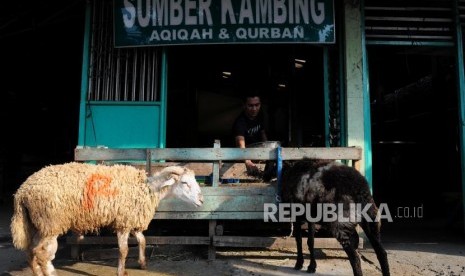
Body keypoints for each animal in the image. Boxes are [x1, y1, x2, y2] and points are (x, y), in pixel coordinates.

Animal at [10, 162, 202, 276]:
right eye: (184, 183)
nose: (201, 200)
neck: (148, 188)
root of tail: (21, 192)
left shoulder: (132, 220)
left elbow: (142, 241)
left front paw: (142, 263)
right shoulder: (124, 222)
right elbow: (124, 250)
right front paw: (121, 271)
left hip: (36, 224)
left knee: (31, 250)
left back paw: (38, 272)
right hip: (50, 222)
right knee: (42, 253)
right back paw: (50, 273)